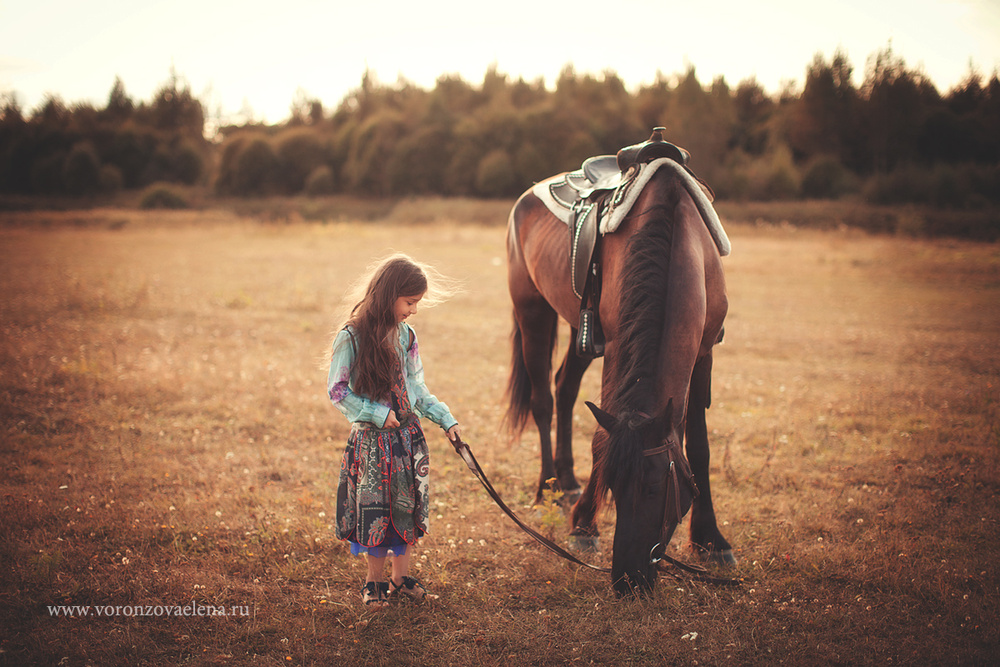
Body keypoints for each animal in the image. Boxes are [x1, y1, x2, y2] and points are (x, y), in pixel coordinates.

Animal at [508, 133, 736, 596]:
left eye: (653, 489)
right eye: (614, 485)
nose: (628, 579)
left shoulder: (704, 352)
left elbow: (699, 446)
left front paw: (711, 539)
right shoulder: (615, 347)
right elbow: (601, 439)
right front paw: (584, 526)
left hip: (580, 329)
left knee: (564, 387)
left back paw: (568, 481)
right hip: (532, 310)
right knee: (542, 399)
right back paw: (549, 485)